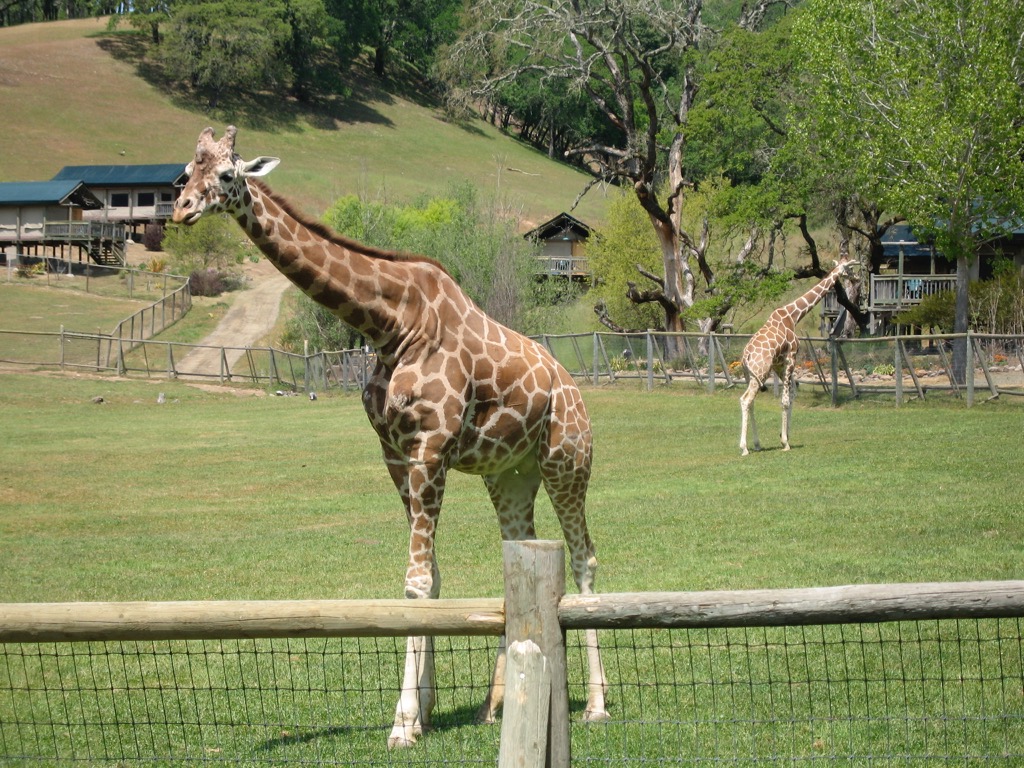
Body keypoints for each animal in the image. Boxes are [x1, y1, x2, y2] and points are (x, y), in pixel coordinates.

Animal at [172, 129, 606, 749]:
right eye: (187, 171)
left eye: (229, 174)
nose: (182, 209)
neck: (390, 325)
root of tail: (571, 385)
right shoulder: (394, 452)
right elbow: (432, 578)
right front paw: (423, 710)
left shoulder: (432, 446)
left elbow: (417, 582)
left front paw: (403, 723)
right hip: (511, 475)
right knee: (520, 557)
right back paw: (494, 707)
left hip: (566, 461)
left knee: (584, 557)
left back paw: (596, 705)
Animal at [741, 262, 851, 460]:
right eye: (848, 268)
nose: (853, 278)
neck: (793, 315)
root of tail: (745, 356)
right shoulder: (791, 356)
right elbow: (785, 400)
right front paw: (785, 442)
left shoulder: (779, 364)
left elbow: (792, 394)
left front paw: (785, 436)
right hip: (760, 372)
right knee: (745, 400)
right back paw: (744, 448)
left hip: (752, 376)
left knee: (751, 401)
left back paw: (757, 444)